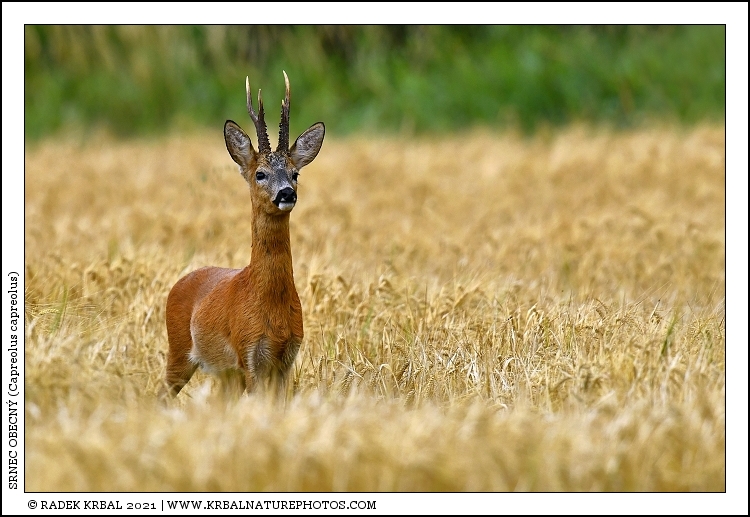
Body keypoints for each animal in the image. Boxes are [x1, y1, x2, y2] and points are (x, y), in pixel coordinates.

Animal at [160, 72, 325, 400]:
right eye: (260, 174)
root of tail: (180, 281)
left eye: (295, 173)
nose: (286, 193)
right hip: (179, 351)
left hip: (225, 374)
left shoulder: (286, 358)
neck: (271, 307)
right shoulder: (250, 354)